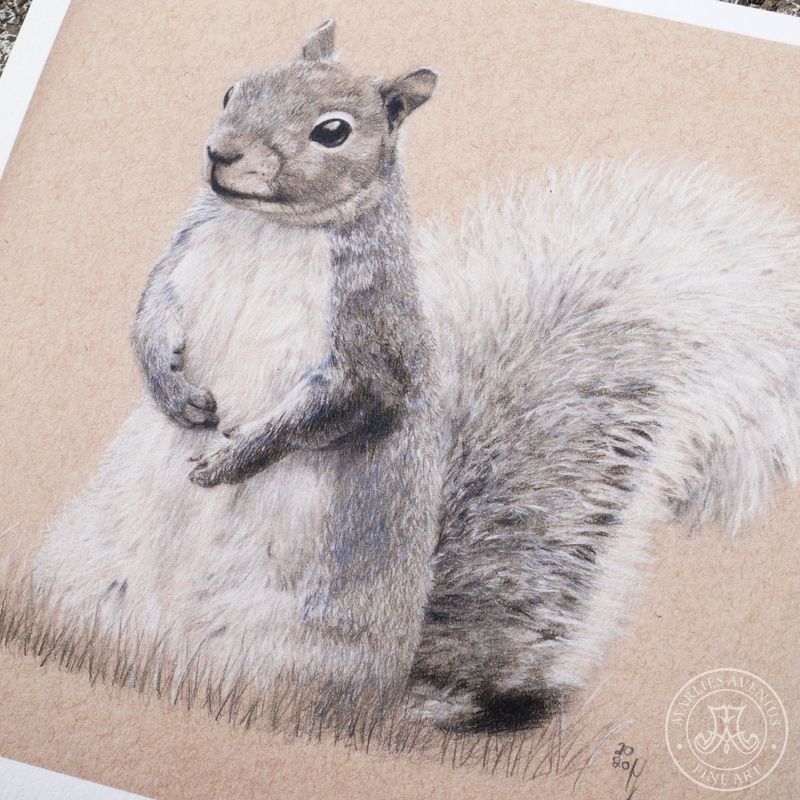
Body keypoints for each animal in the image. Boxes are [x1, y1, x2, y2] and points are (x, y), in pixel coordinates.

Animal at [33, 21, 800, 729]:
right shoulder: (179, 260)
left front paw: (231, 459)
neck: (267, 228)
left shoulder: (372, 340)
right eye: (233, 89)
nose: (221, 153)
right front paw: (174, 391)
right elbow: (150, 317)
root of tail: (386, 704)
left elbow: (343, 405)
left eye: (333, 132)